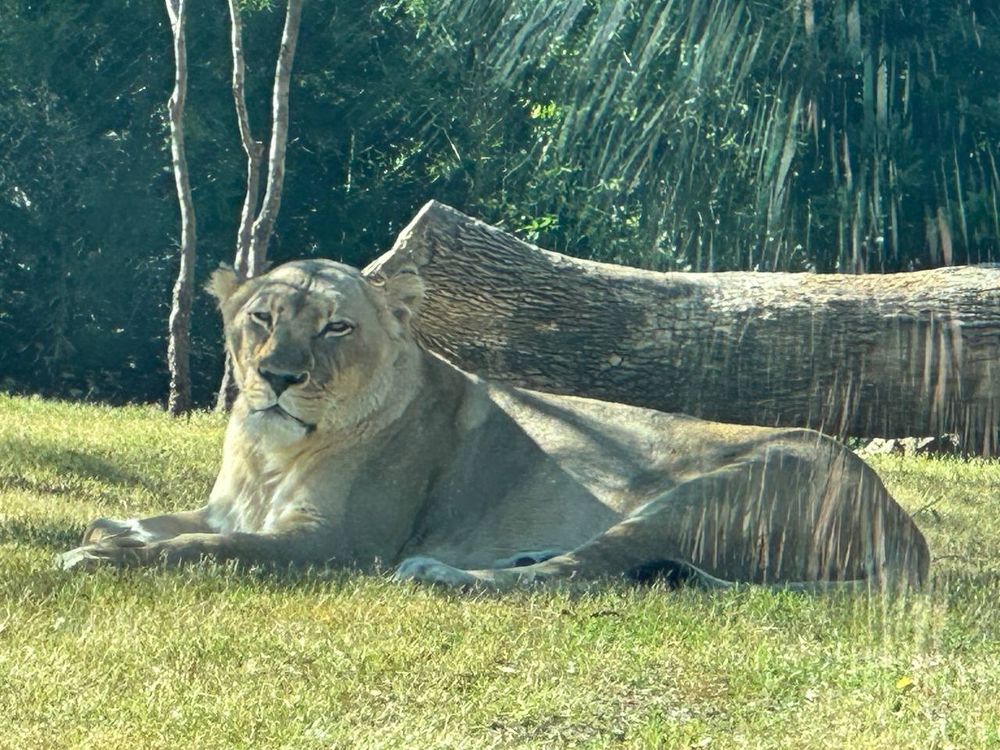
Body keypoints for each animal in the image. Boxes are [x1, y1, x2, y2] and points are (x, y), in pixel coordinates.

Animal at [58, 259, 930, 591]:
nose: (276, 378)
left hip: (708, 491)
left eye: (337, 327)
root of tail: (905, 528)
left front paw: (101, 555)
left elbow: (212, 547)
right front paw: (112, 531)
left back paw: (444, 574)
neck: (269, 454)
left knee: (580, 575)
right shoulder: (229, 506)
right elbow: (166, 522)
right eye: (262, 318)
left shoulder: (337, 544)